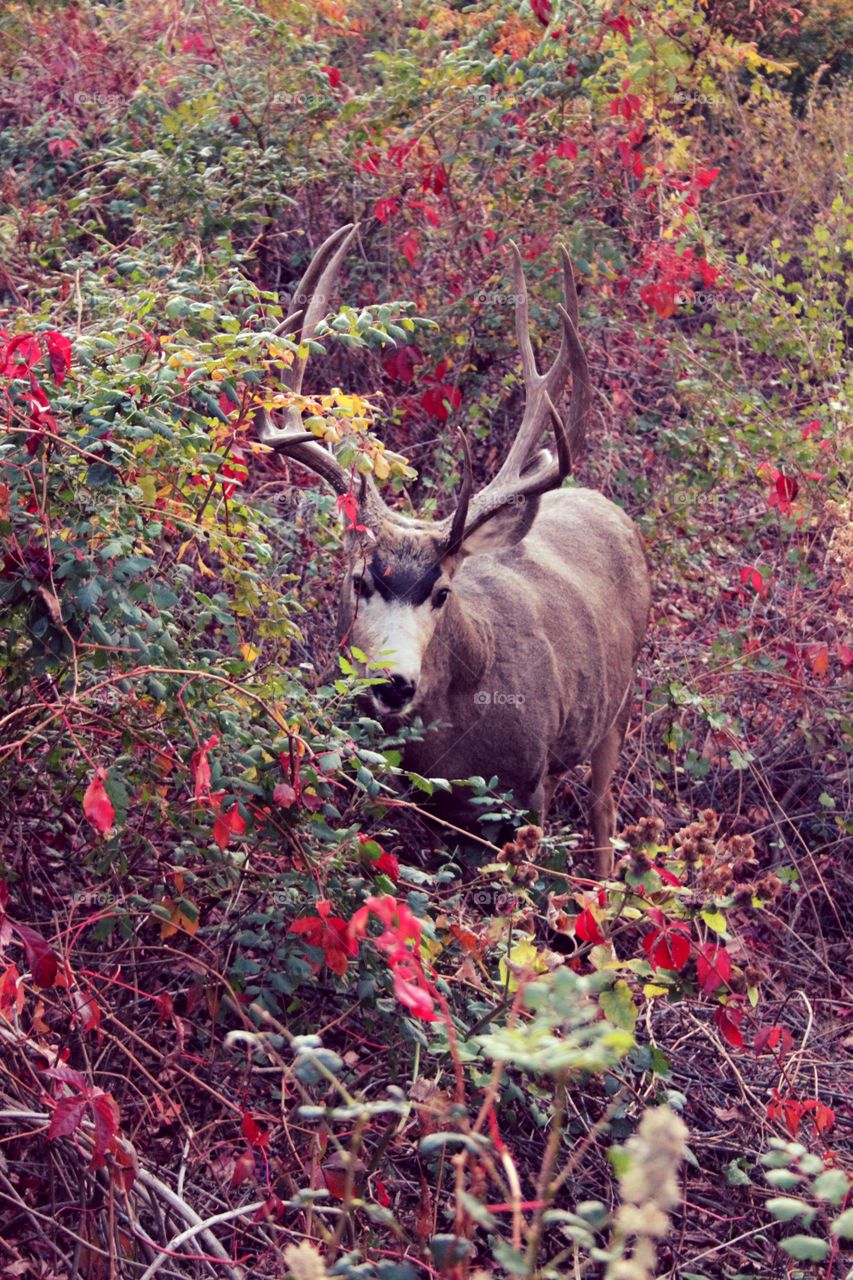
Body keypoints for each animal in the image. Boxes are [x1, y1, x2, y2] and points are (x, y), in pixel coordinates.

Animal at [256, 225, 648, 875]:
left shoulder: (526, 790)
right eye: (359, 579)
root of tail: (609, 507)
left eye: (441, 592)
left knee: (604, 813)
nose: (393, 684)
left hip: (619, 703)